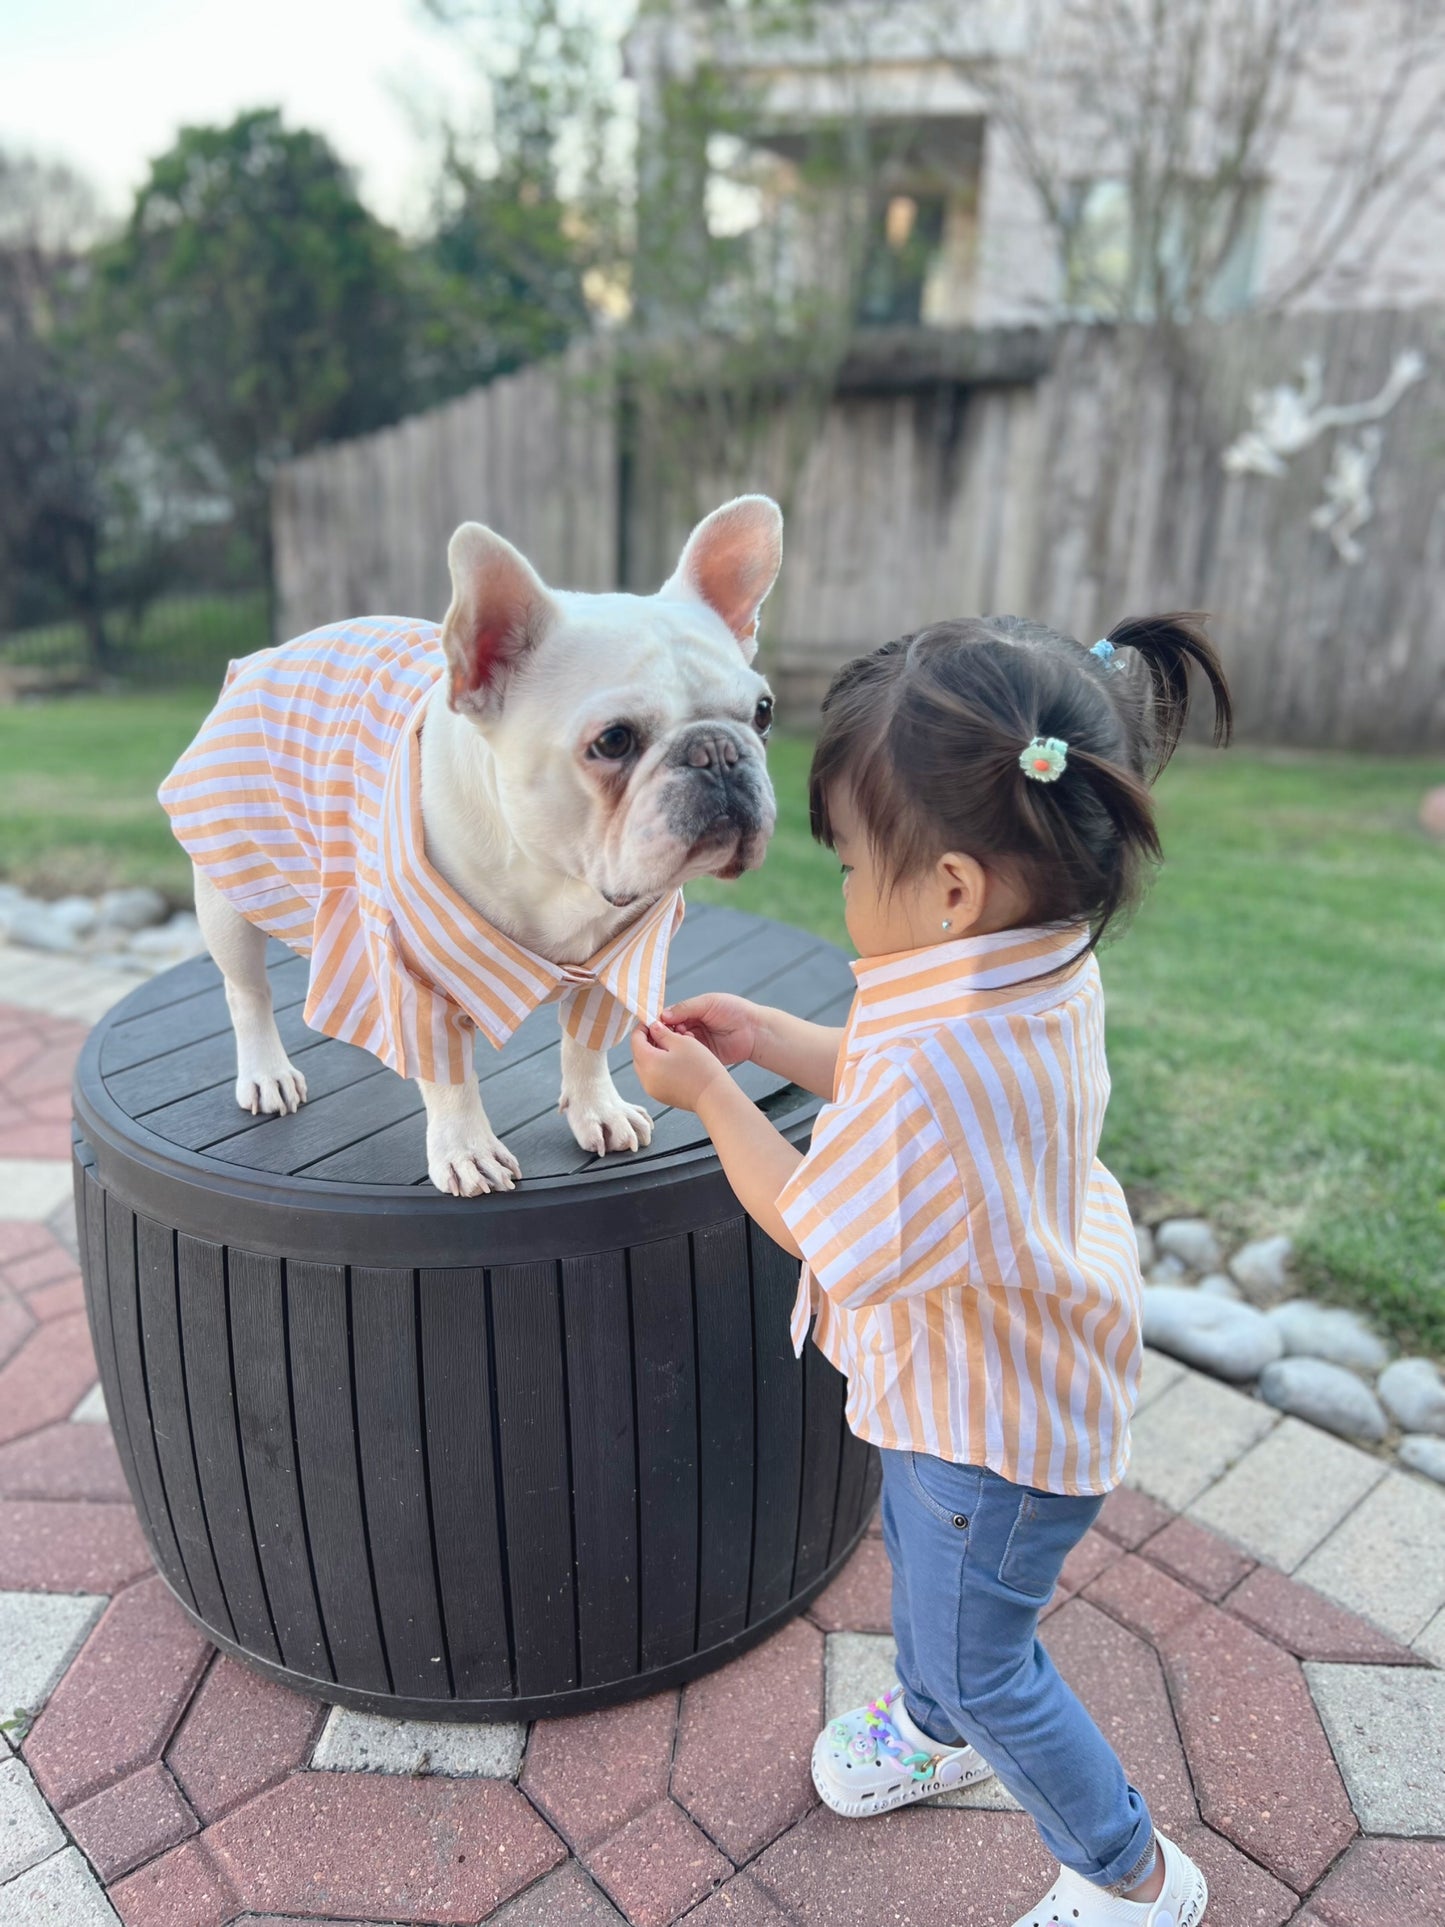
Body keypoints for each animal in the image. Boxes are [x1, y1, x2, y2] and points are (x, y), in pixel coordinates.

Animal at [160, 497, 782, 1187]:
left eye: (763, 713)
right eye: (614, 740)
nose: (717, 751)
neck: (558, 880)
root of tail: (258, 658)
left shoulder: (623, 960)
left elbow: (587, 1042)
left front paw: (598, 1108)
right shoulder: (410, 973)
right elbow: (447, 1074)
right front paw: (465, 1148)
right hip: (230, 885)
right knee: (247, 991)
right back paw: (265, 1071)